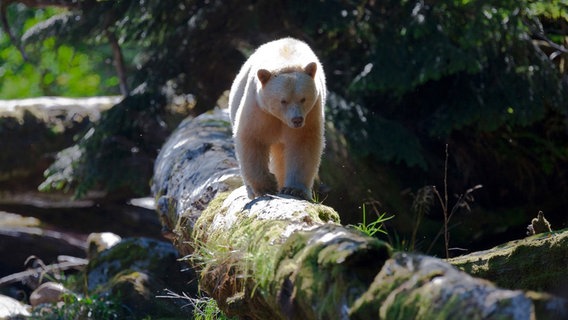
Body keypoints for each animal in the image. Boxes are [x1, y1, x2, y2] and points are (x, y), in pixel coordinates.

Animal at [229, 37, 326, 200]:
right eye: (283, 101)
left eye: (303, 99)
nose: (297, 120)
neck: (286, 59)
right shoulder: (259, 108)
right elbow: (251, 138)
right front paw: (266, 186)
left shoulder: (311, 113)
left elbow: (303, 143)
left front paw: (294, 190)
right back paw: (251, 190)